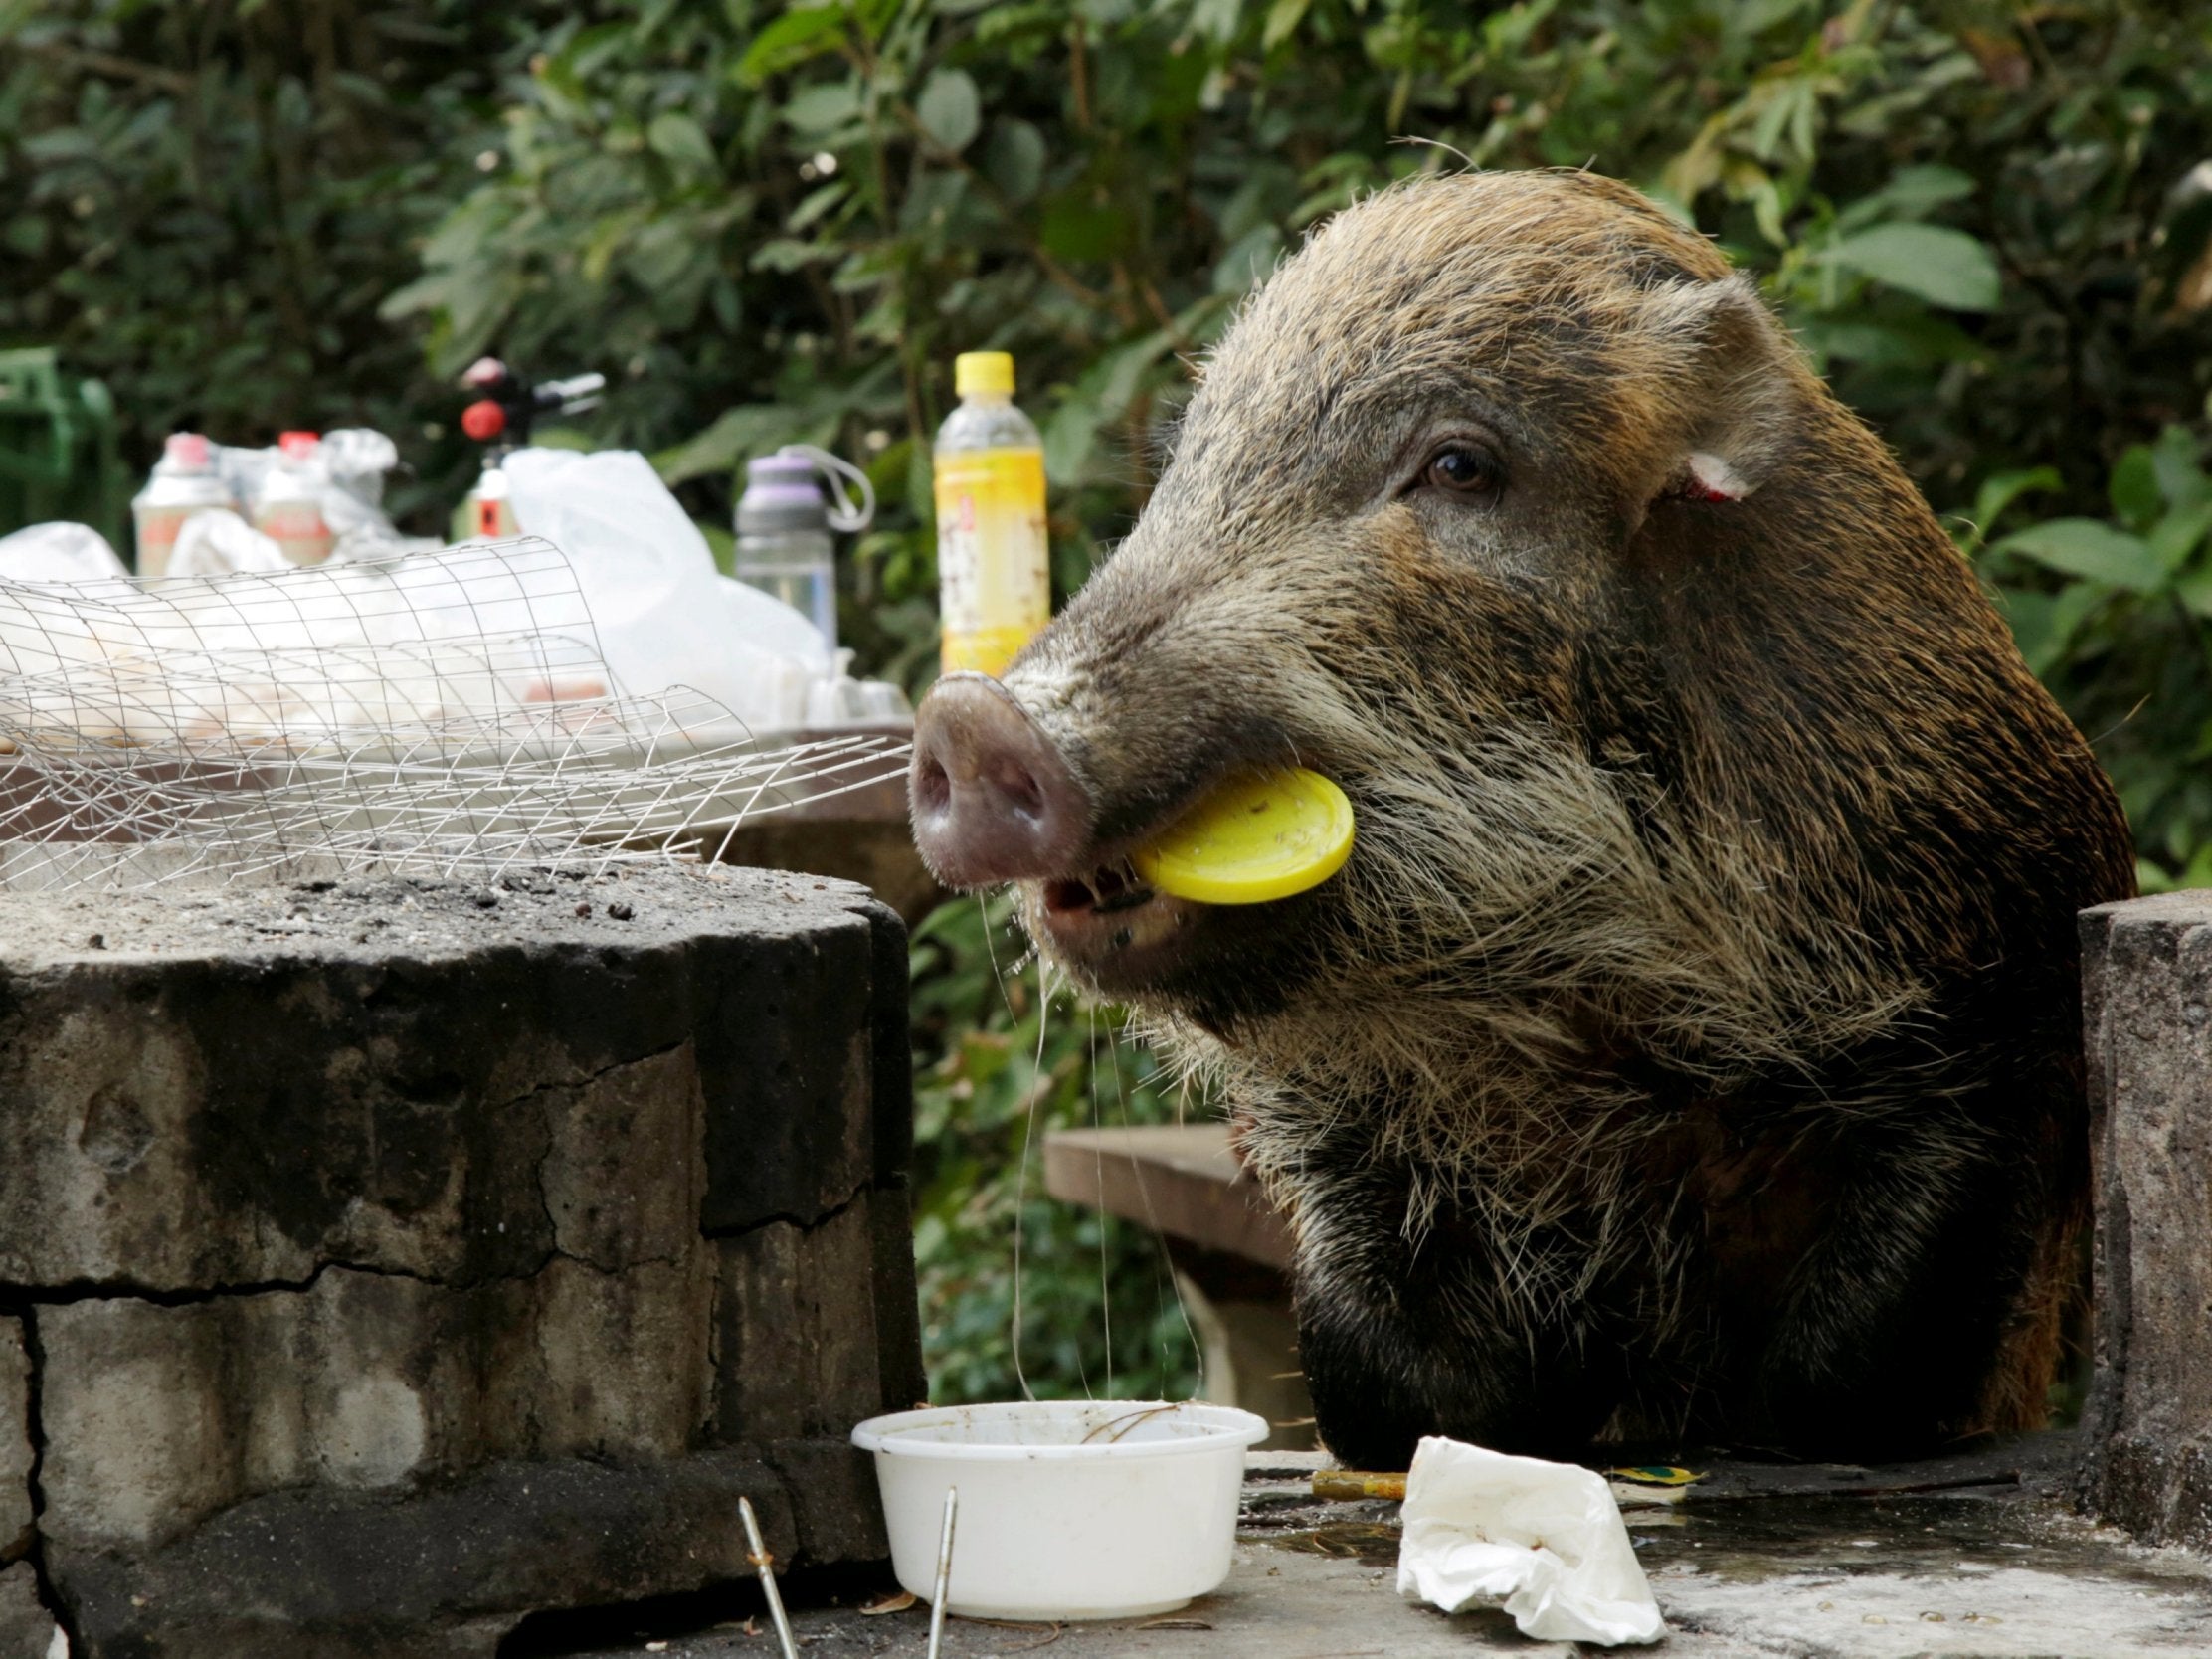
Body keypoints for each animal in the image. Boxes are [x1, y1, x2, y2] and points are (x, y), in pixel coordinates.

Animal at [908, 169, 2136, 1468]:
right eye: (1189, 468)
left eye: (1459, 465)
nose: (972, 718)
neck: (1582, 1031)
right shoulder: (1331, 1134)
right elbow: (1382, 1379)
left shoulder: (2000, 985)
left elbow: (1842, 1375)